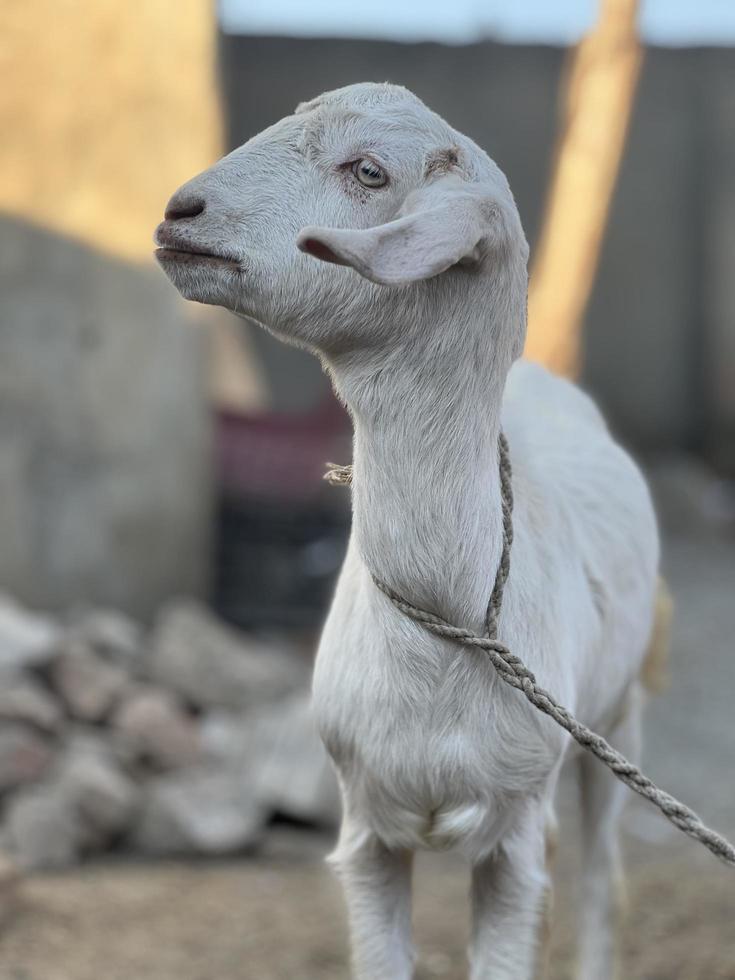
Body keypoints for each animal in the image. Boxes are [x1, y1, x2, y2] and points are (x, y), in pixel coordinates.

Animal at [155, 86, 660, 980]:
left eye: (368, 172)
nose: (181, 212)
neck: (448, 618)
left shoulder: (511, 834)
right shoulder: (366, 830)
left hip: (617, 718)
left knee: (601, 878)